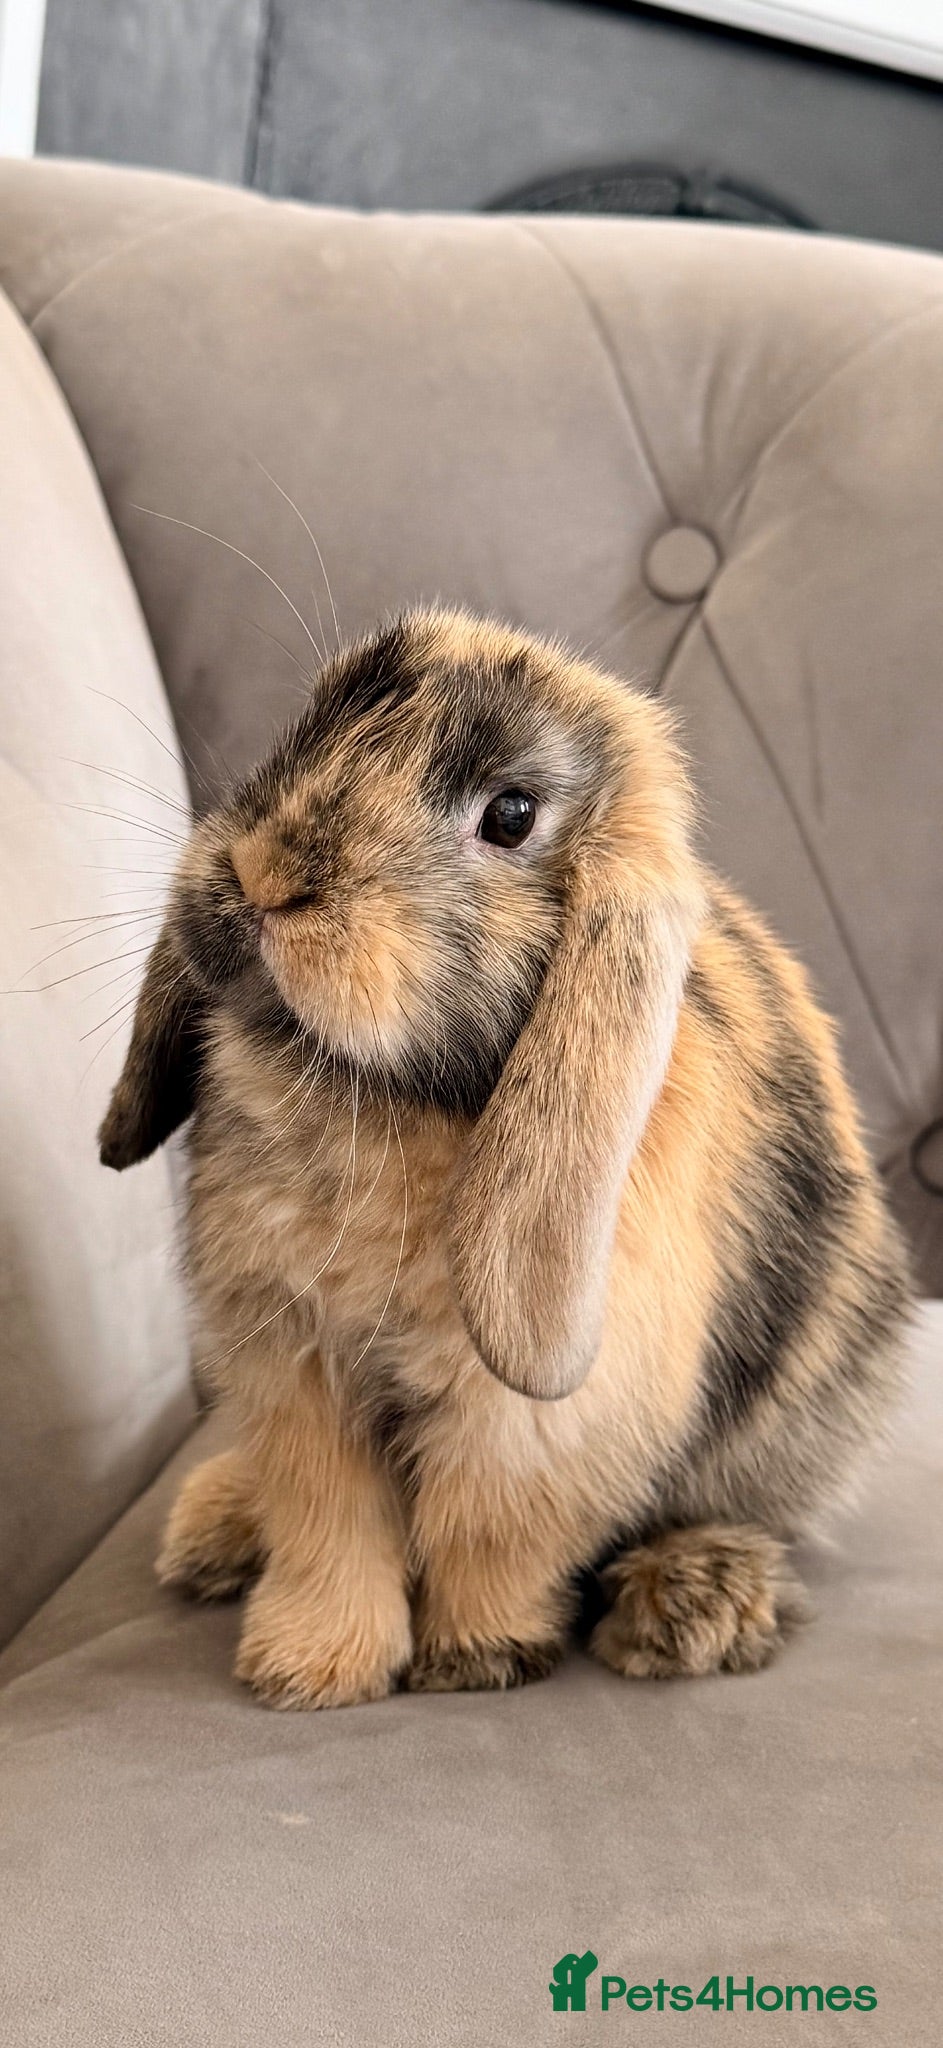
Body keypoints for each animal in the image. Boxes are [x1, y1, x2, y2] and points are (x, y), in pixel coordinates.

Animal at [99, 608, 911, 1707]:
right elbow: (325, 1523)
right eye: (313, 720)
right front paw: (310, 1669)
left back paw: (688, 1605)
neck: (378, 1097)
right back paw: (213, 1526)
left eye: (511, 815)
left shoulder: (536, 1417)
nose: (265, 874)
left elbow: (489, 1531)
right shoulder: (291, 1366)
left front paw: (474, 1656)